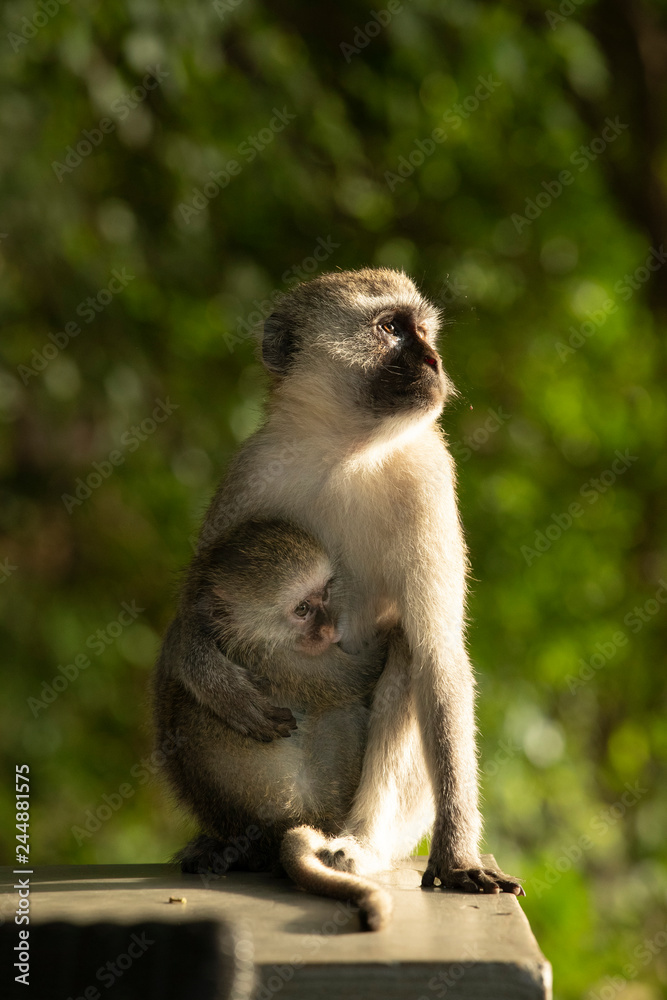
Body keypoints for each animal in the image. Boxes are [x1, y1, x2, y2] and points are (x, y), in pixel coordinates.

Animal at [187, 268, 520, 900]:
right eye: (390, 329)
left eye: (422, 329)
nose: (433, 359)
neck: (350, 450)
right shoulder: (253, 468)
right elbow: (197, 604)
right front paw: (215, 681)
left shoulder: (429, 478)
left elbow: (437, 657)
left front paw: (457, 854)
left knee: (410, 654)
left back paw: (357, 846)